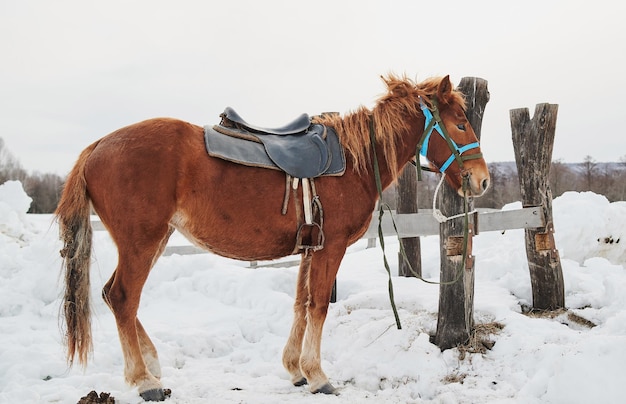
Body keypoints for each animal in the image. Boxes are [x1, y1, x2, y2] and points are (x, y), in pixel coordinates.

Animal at [54, 74, 488, 400]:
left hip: (154, 240)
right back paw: (145, 381)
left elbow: (301, 304)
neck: (356, 161)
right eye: (460, 122)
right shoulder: (330, 248)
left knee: (112, 295)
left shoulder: (310, 249)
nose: (482, 180)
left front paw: (295, 369)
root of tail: (97, 146)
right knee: (123, 298)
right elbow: (318, 306)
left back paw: (152, 366)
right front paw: (318, 376)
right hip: (142, 242)